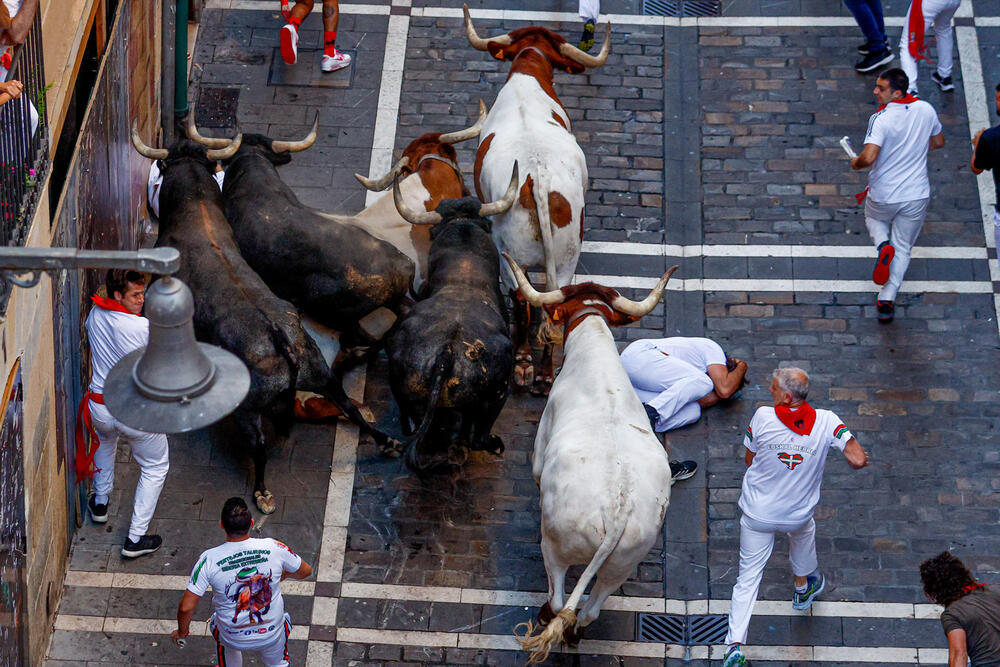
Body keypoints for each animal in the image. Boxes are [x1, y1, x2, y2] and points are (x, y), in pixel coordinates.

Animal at [148, 141, 398, 516]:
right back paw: (386, 441)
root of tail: (281, 339)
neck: (194, 210)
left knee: (259, 445)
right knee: (349, 406)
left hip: (248, 407)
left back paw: (262, 493)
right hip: (319, 371)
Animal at [460, 5, 608, 396]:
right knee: (553, 300)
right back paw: (543, 373)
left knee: (524, 303)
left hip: (513, 256)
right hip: (568, 254)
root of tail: (536, 180)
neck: (529, 71)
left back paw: (525, 365)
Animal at [504, 254, 684, 664]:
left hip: (556, 547)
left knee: (558, 599)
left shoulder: (539, 452)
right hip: (622, 564)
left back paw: (548, 618)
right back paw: (574, 635)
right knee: (589, 609)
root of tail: (618, 508)